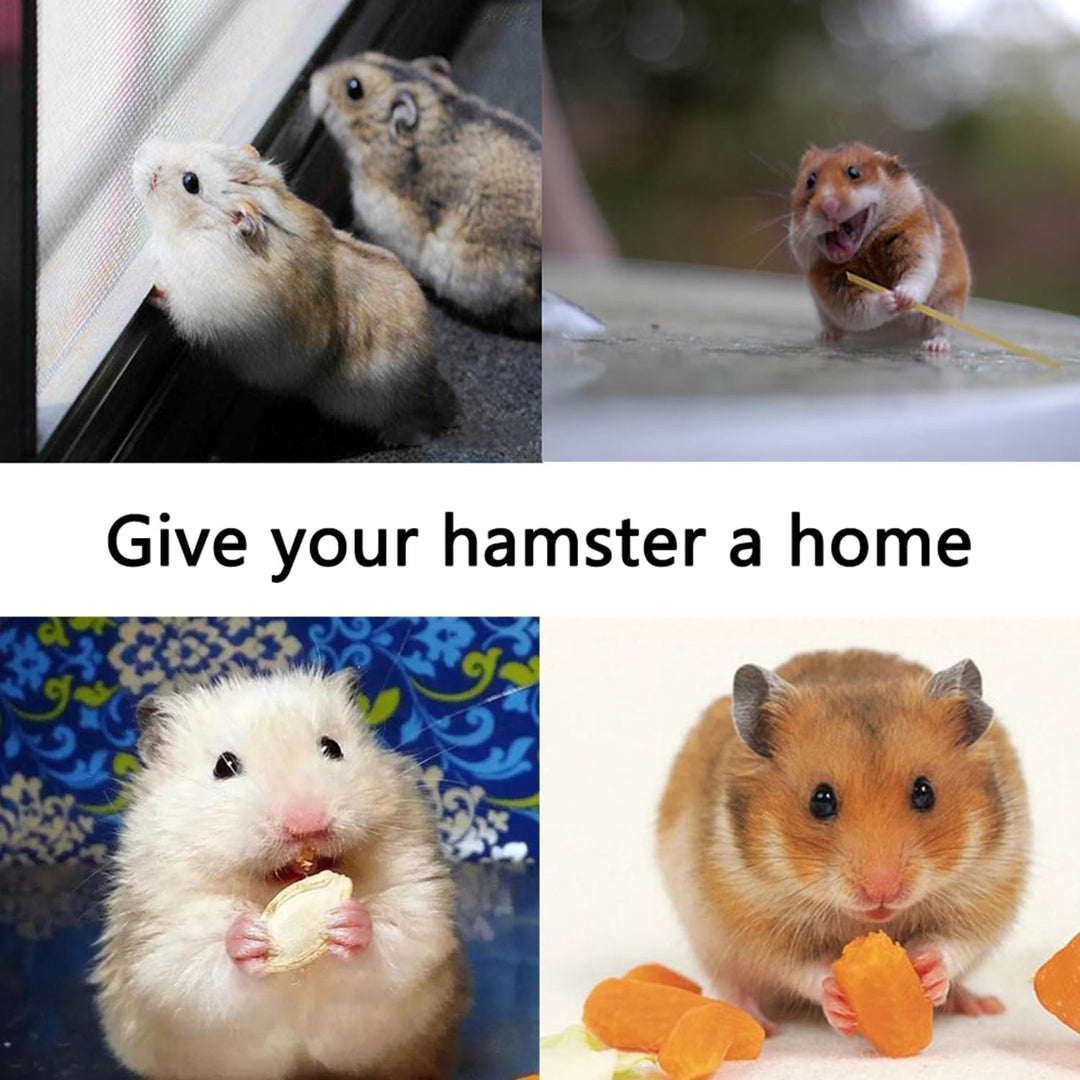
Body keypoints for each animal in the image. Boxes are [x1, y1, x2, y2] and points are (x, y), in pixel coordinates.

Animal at [92, 668, 468, 1080]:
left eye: (332, 747)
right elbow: (200, 963)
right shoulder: (161, 938)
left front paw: (349, 921)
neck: (272, 888)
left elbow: (397, 935)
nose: (307, 824)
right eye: (224, 766)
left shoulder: (417, 901)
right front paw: (249, 938)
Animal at [132, 140, 455, 446]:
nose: (139, 155)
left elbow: (173, 297)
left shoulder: (200, 296)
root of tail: (428, 389)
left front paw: (152, 291)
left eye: (191, 182)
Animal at [657, 649, 1029, 1037]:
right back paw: (756, 1022)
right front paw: (837, 997)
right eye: (820, 800)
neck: (866, 921)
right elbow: (800, 967)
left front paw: (927, 971)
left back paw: (980, 1005)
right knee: (734, 985)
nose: (882, 892)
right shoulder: (757, 917)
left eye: (925, 792)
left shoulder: (988, 886)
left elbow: (953, 943)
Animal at [788, 143, 971, 352]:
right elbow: (861, 308)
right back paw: (826, 337)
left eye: (854, 172)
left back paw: (934, 346)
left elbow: (917, 275)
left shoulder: (916, 242)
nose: (828, 206)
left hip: (950, 300)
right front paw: (890, 300)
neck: (864, 248)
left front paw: (902, 297)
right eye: (810, 181)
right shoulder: (833, 289)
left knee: (942, 328)